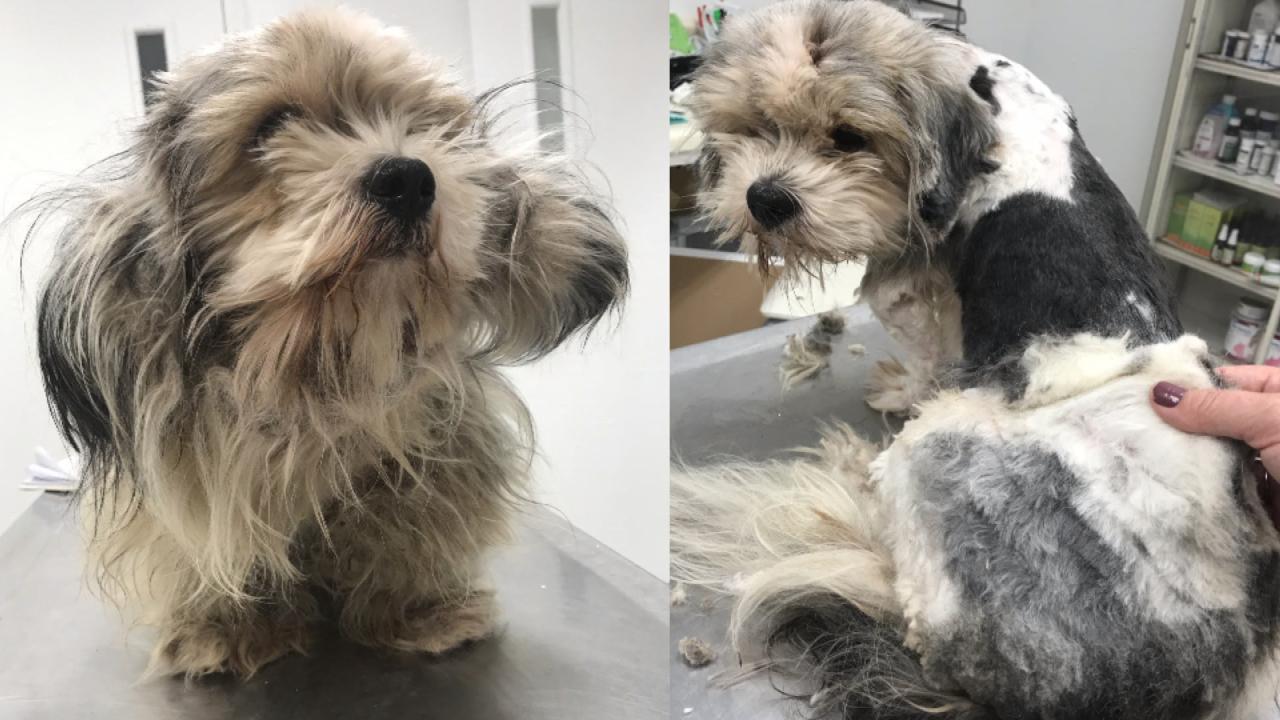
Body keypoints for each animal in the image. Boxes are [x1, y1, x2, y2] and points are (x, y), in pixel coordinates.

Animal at [27, 8, 627, 676]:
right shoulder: (195, 477)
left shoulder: (430, 451)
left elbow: (410, 525)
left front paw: (415, 610)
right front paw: (228, 625)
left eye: (425, 126)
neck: (322, 354)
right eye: (272, 126)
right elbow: (208, 548)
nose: (406, 177)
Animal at [670, 2, 1280, 712]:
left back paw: (852, 470)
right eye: (748, 125)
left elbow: (925, 356)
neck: (977, 82)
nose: (766, 198)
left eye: (849, 137)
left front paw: (899, 388)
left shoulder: (911, 282)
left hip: (937, 452)